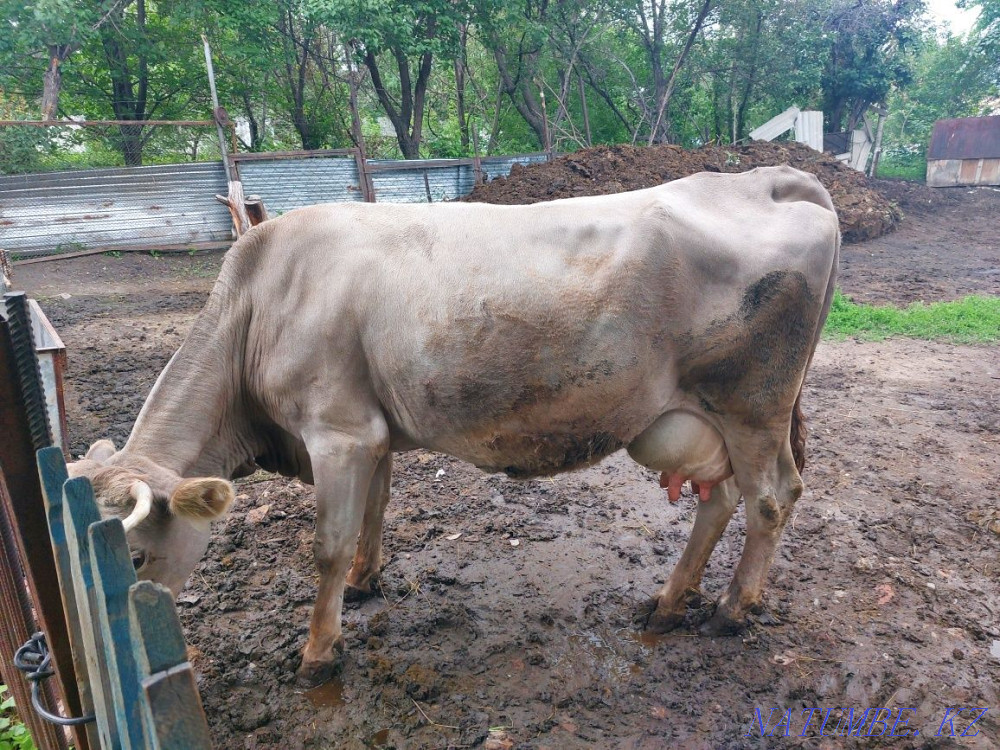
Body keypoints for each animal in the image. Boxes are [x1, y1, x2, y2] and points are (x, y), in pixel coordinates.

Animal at [68, 165, 839, 687]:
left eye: (137, 557)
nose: (113, 654)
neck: (258, 303)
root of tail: (764, 179)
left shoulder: (337, 431)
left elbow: (325, 545)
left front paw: (319, 651)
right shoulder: (371, 431)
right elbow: (375, 511)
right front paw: (365, 581)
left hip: (753, 404)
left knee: (771, 498)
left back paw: (731, 609)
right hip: (708, 419)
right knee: (721, 498)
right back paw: (670, 601)